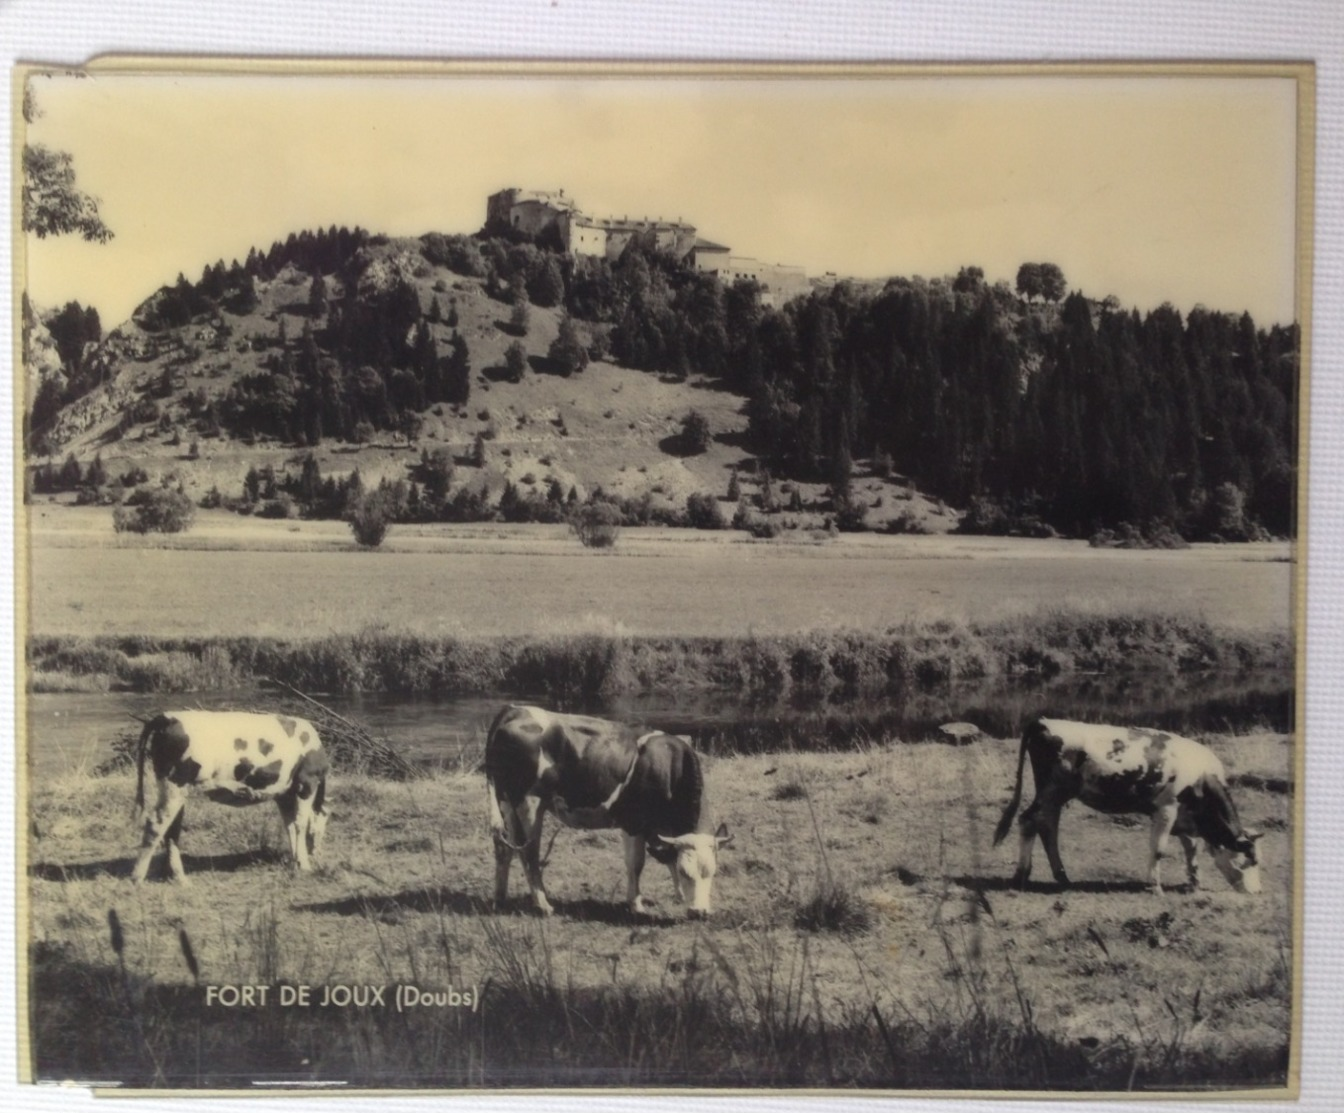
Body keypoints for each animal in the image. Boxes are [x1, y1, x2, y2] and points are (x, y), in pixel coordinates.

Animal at [131, 715, 330, 887]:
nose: (319, 854)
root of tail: (168, 717)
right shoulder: (307, 782)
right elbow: (300, 824)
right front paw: (305, 866)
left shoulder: (284, 794)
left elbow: (289, 825)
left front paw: (296, 862)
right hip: (175, 783)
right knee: (156, 824)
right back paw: (138, 877)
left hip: (175, 789)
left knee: (172, 830)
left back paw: (178, 878)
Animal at [486, 704, 736, 919]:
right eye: (687, 873)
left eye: (712, 872)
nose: (699, 913)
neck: (668, 766)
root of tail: (514, 709)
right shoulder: (633, 822)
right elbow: (636, 864)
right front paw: (636, 904)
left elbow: (669, 857)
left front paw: (680, 896)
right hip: (529, 802)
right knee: (529, 852)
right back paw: (542, 904)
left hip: (506, 800)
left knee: (504, 848)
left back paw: (500, 898)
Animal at [994, 720, 1263, 897]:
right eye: (1248, 861)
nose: (1256, 892)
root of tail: (1042, 721)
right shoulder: (1166, 808)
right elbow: (1159, 849)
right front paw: (1154, 886)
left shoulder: (1186, 816)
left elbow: (1191, 848)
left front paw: (1194, 882)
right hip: (1051, 789)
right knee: (1029, 820)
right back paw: (1022, 875)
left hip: (1055, 795)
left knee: (1047, 825)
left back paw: (1061, 876)